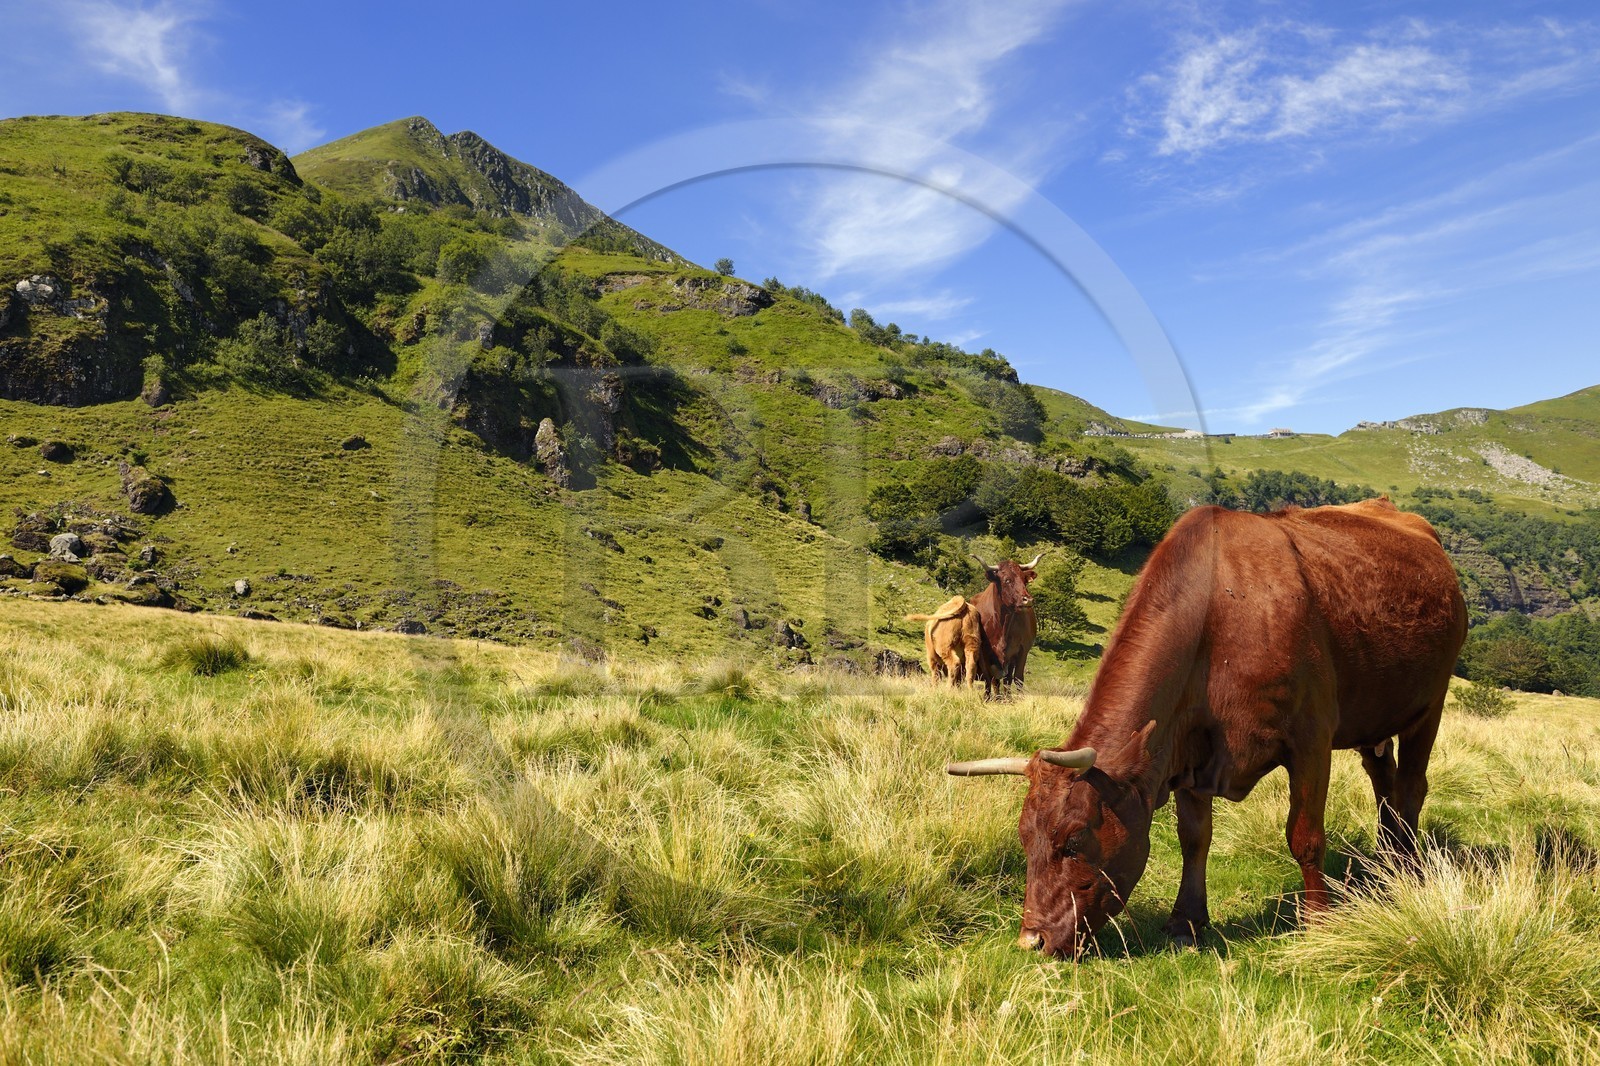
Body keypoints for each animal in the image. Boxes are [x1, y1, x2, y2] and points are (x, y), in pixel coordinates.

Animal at [969, 554, 1041, 697]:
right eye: (1007, 580)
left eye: (1024, 580)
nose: (1028, 600)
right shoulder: (985, 653)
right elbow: (990, 678)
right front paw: (988, 698)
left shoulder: (1022, 650)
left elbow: (1017, 678)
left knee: (1008, 679)